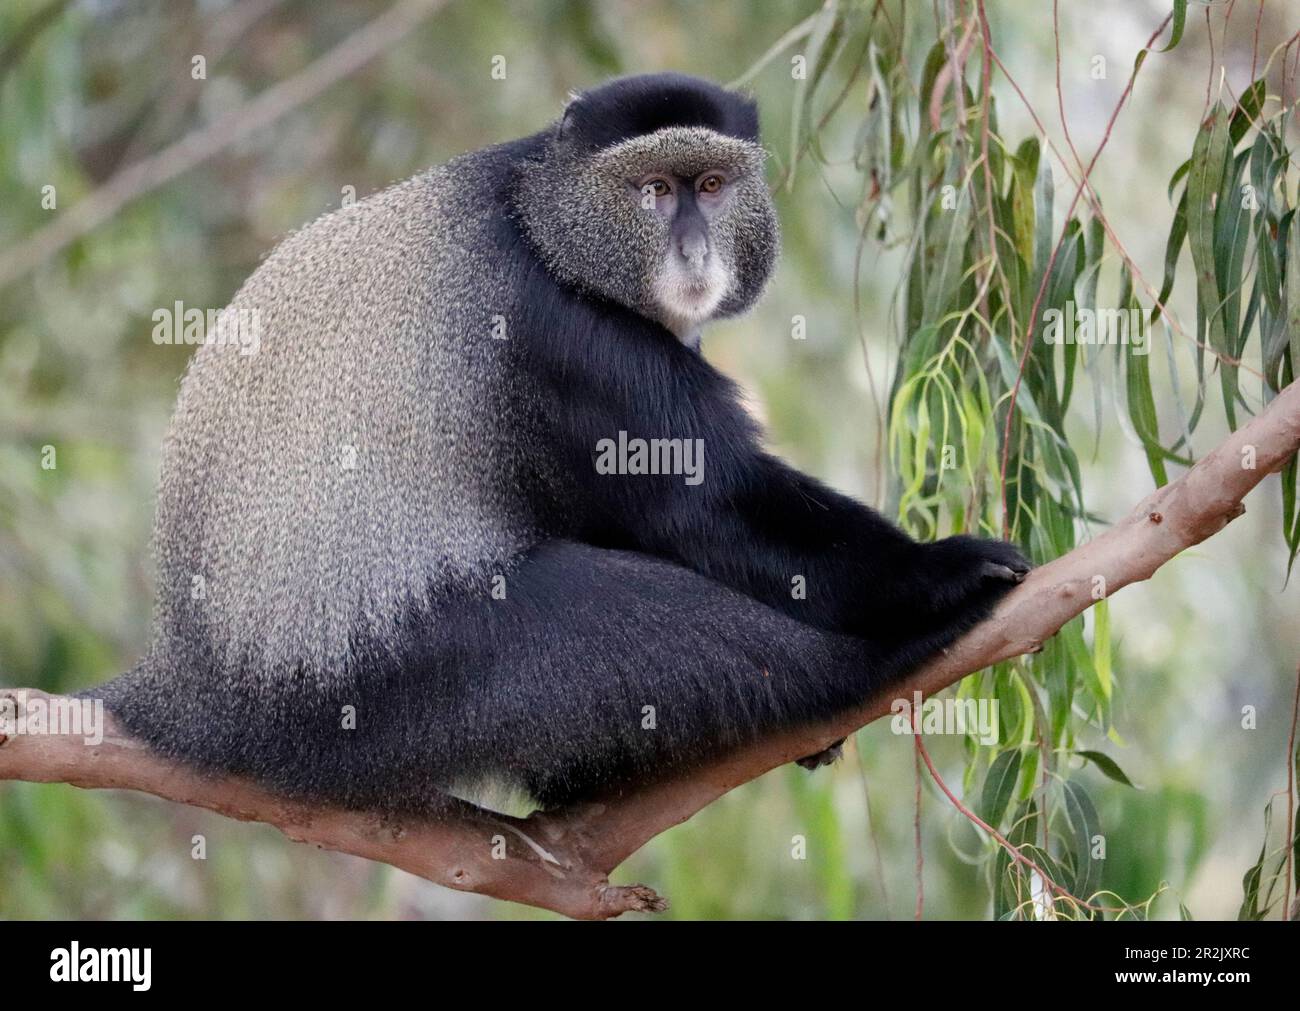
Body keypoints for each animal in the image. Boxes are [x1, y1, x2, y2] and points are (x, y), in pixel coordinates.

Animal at [89, 72, 1024, 810]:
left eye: (712, 183)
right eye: (654, 191)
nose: (693, 251)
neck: (546, 225)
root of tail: (195, 687)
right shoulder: (570, 337)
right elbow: (714, 505)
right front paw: (937, 574)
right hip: (394, 683)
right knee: (653, 626)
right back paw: (860, 668)